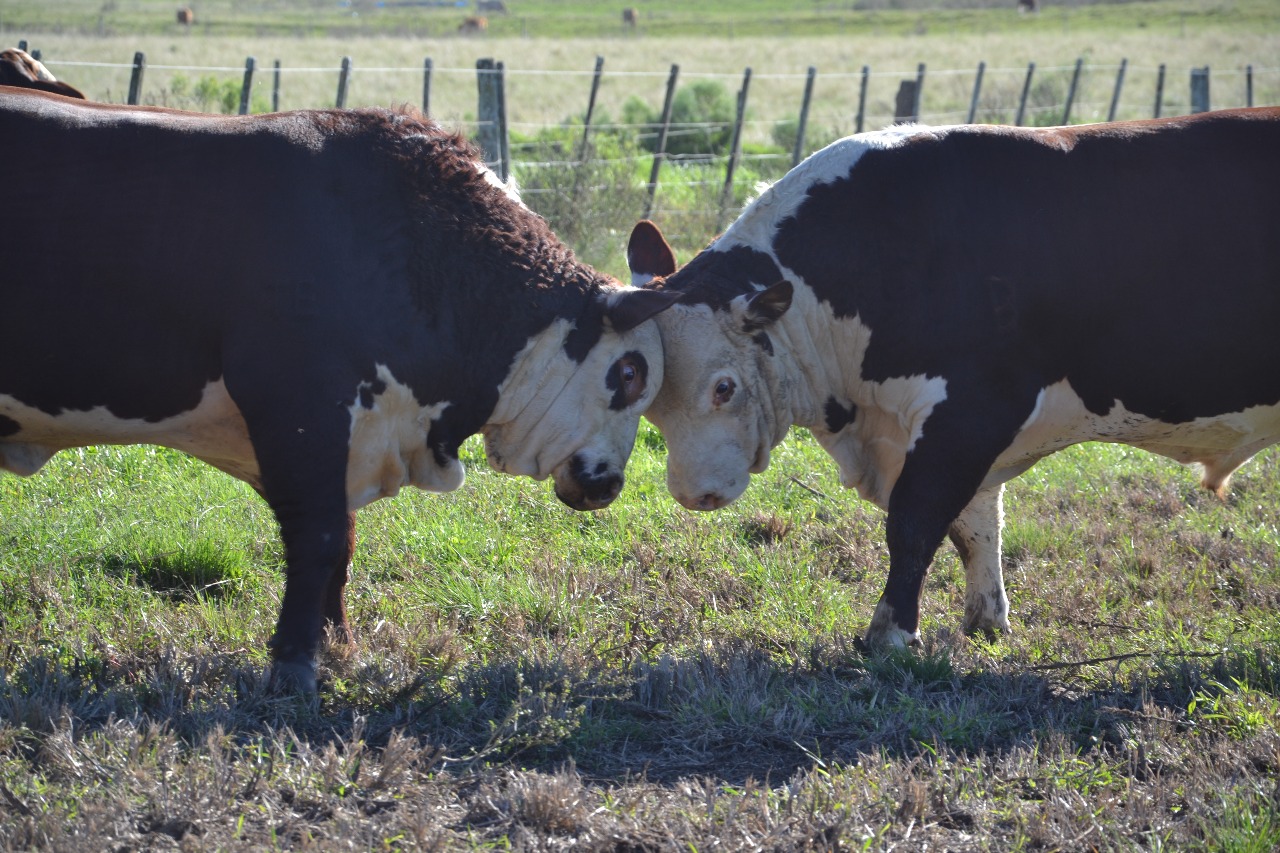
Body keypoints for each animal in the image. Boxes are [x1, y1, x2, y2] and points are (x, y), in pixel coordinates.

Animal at [0, 92, 679, 692]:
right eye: (631, 373)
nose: (609, 484)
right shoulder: (300, 412)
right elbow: (321, 537)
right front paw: (294, 664)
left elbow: (343, 545)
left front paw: (337, 643)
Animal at [630, 108, 1280, 651]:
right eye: (652, 401)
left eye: (723, 387)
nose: (690, 493)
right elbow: (975, 527)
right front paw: (986, 620)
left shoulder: (974, 408)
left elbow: (916, 522)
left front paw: (892, 634)